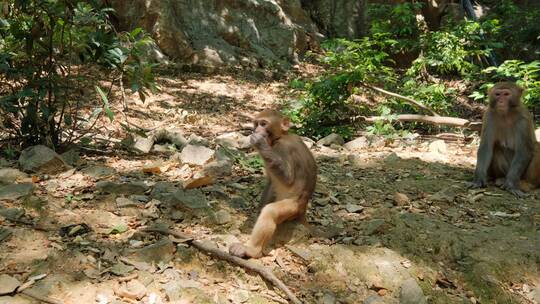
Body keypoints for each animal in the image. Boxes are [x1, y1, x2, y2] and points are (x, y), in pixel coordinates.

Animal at [228, 108, 316, 258]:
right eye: (256, 124)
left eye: (263, 124)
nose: (256, 130)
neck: (280, 137)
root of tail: (303, 210)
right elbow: (271, 181)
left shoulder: (284, 148)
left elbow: (288, 178)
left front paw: (259, 143)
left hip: (293, 208)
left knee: (270, 212)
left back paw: (252, 250)